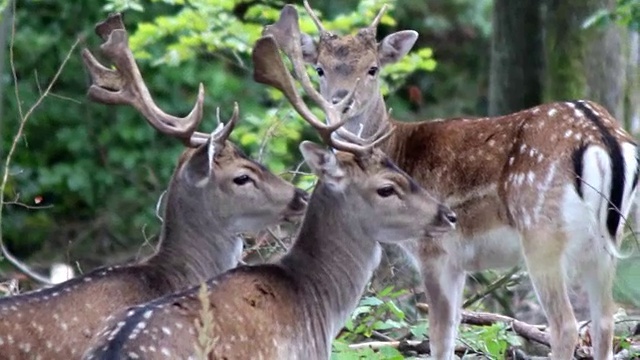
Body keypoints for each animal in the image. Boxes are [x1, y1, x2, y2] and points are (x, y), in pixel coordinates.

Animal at [260, 3, 640, 360]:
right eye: (320, 68)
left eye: (373, 68)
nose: (340, 102)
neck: (396, 145)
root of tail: (603, 136)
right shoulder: (459, 263)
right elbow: (454, 328)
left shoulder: (434, 250)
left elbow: (439, 337)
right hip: (605, 241)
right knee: (604, 322)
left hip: (541, 232)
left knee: (565, 325)